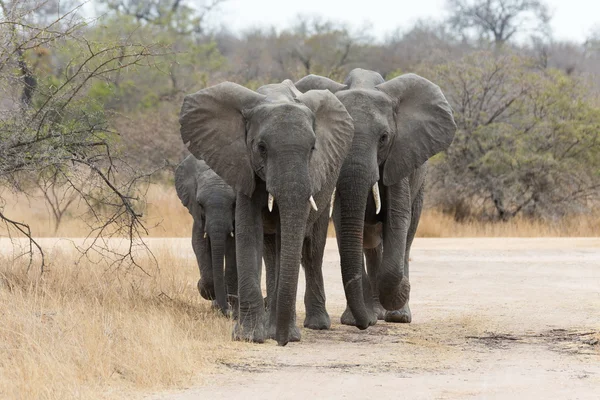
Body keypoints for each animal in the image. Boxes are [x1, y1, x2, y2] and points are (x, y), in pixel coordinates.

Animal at [173, 153, 237, 316]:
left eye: (234, 203)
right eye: (200, 204)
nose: (227, 311)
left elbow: (234, 248)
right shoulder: (197, 215)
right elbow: (198, 243)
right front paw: (205, 288)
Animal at [180, 79, 354, 346]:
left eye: (313, 148)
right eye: (261, 147)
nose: (283, 341)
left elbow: (288, 239)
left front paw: (283, 334)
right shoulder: (243, 169)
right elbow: (248, 233)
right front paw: (249, 337)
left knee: (310, 251)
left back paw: (311, 324)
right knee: (272, 252)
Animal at [298, 69, 458, 324]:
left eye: (384, 137)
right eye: (342, 138)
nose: (364, 323)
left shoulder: (399, 156)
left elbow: (398, 217)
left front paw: (401, 294)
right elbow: (343, 221)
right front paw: (354, 320)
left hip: (420, 184)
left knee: (407, 236)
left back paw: (397, 315)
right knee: (370, 244)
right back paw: (374, 312)